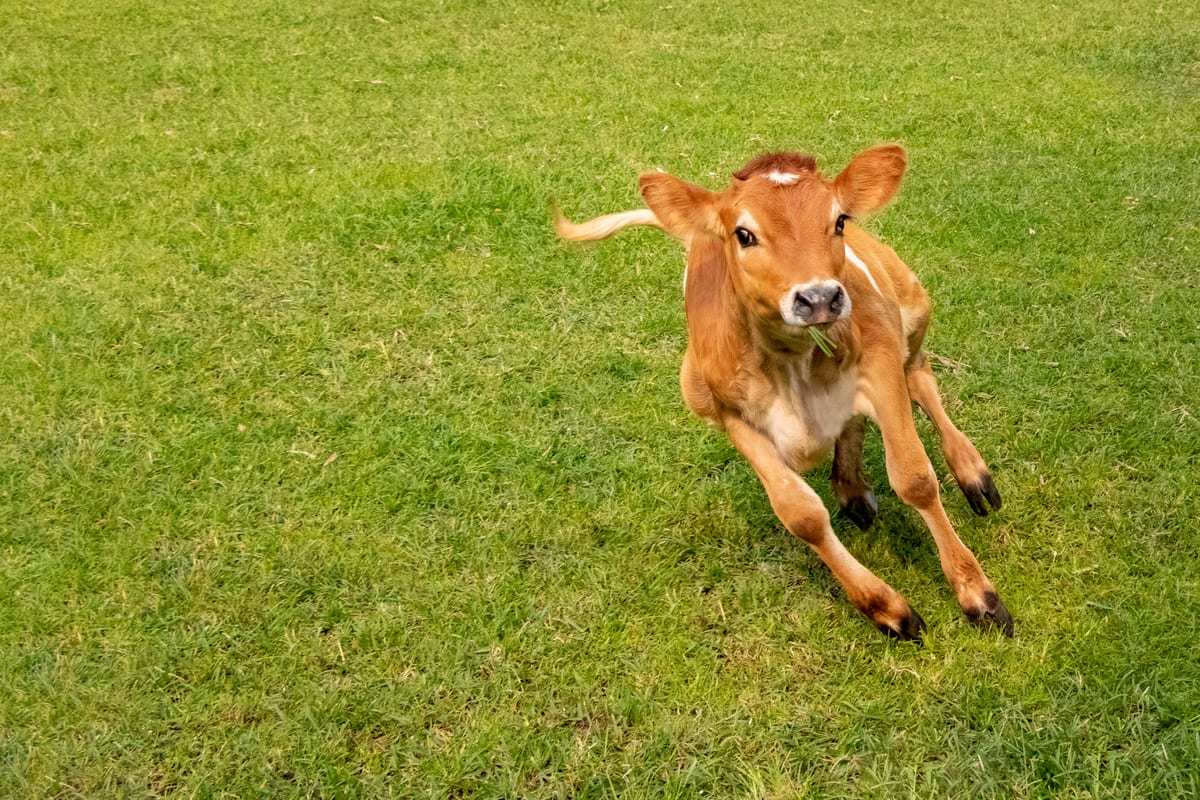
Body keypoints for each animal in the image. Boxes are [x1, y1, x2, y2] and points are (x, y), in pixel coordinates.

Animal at [555, 144, 1012, 641]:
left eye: (839, 221)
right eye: (744, 234)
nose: (819, 298)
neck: (795, 364)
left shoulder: (880, 361)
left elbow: (915, 478)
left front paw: (978, 595)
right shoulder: (728, 411)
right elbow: (801, 514)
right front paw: (886, 609)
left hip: (910, 303)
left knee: (921, 378)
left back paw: (972, 474)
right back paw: (852, 488)